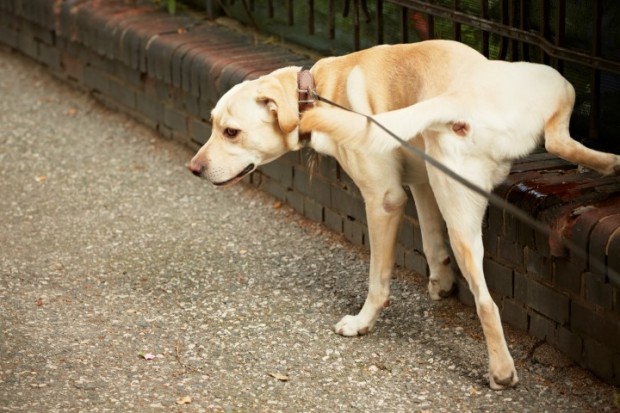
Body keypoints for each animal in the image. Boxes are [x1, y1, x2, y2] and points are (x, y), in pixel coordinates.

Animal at [189, 39, 620, 390]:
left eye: (230, 132)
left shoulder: (385, 200)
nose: (193, 168)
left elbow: (378, 280)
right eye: (212, 124)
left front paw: (362, 322)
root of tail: (460, 96)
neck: (319, 89)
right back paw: (610, 163)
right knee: (559, 141)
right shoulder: (423, 181)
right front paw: (441, 281)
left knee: (486, 302)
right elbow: (430, 240)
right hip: (547, 89)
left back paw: (500, 372)